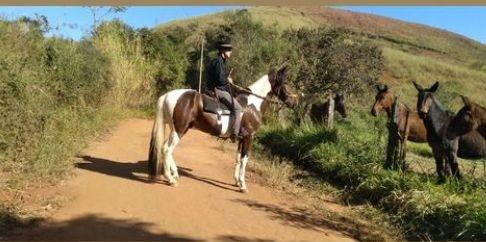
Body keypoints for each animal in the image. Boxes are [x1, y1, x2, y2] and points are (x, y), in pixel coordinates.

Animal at [147, 65, 296, 192]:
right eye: (286, 83)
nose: (294, 103)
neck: (253, 105)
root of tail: (167, 95)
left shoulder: (241, 138)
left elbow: (238, 158)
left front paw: (236, 181)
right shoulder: (249, 137)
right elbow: (244, 159)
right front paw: (243, 185)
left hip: (177, 129)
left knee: (165, 148)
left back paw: (175, 174)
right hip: (179, 130)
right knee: (167, 149)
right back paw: (170, 179)